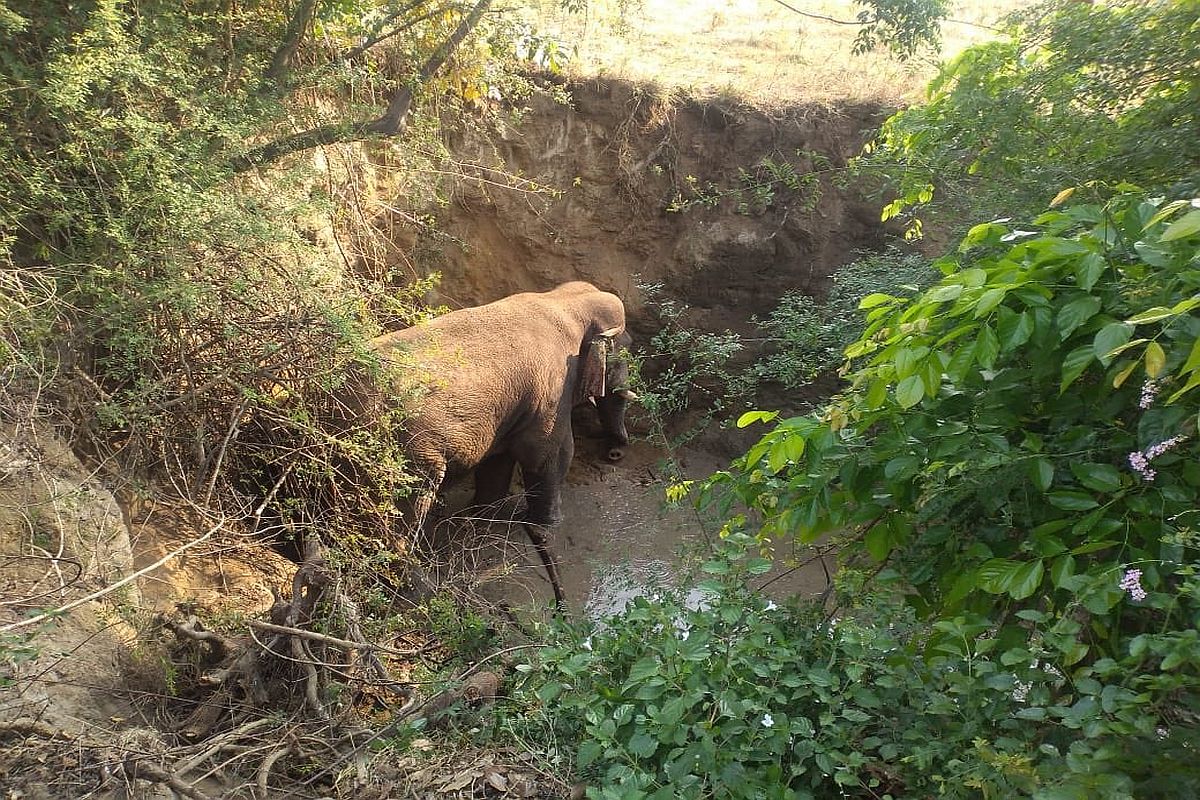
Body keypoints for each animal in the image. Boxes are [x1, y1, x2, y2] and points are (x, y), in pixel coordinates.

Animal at [372, 281, 638, 599]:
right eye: (626, 350)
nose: (614, 453)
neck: (561, 301)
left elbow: (498, 461)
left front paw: (484, 517)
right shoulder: (553, 391)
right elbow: (548, 455)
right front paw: (546, 525)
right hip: (410, 451)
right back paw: (420, 588)